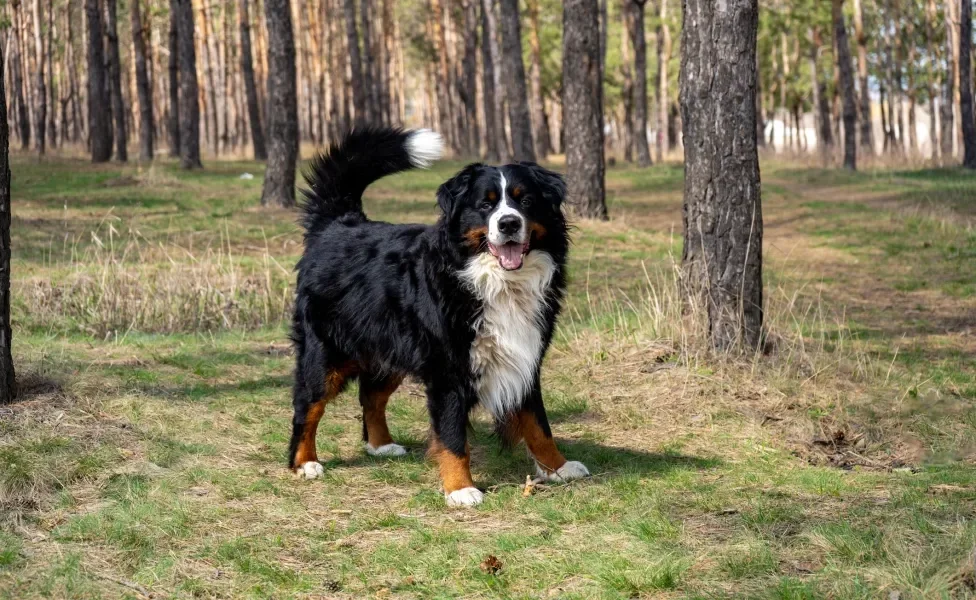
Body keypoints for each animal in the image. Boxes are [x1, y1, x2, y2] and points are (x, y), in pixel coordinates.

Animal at [288, 127, 588, 506]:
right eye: (486, 204)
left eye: (526, 201)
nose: (508, 223)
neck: (495, 282)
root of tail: (338, 224)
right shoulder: (448, 371)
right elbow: (451, 435)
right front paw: (460, 489)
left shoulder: (525, 357)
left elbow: (538, 424)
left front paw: (558, 467)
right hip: (326, 355)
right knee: (308, 407)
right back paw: (304, 462)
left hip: (392, 348)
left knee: (371, 396)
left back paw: (381, 445)